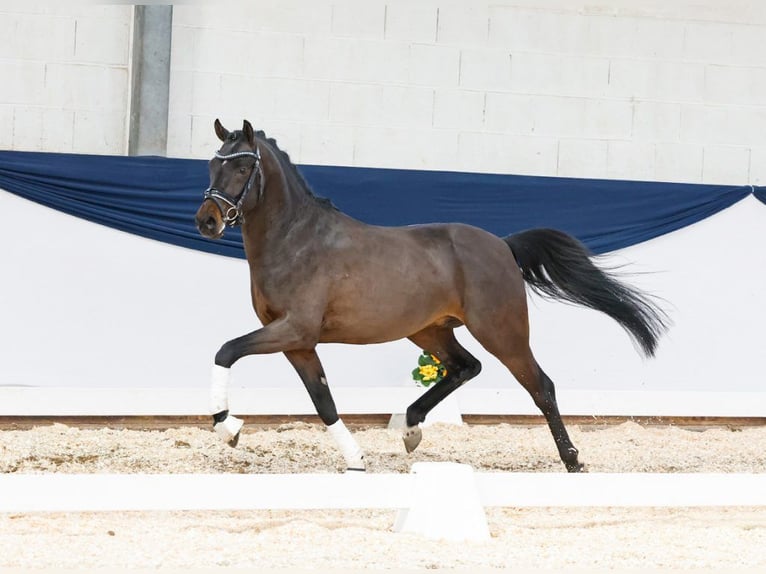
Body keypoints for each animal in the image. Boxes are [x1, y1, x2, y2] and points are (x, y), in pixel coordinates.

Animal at [195, 119, 668, 474]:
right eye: (212, 166)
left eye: (242, 168)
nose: (207, 221)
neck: (295, 240)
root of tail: (502, 244)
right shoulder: (298, 342)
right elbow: (323, 401)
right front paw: (356, 460)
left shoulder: (294, 329)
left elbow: (225, 351)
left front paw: (228, 427)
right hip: (430, 332)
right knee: (465, 367)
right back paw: (409, 427)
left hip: (501, 332)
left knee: (540, 385)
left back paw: (572, 460)